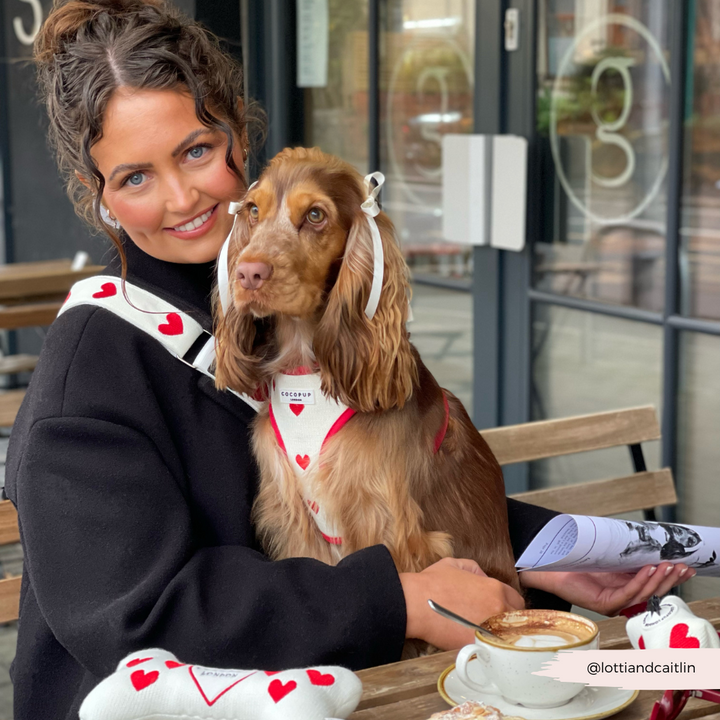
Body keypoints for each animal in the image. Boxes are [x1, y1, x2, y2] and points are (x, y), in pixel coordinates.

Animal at [212, 148, 516, 596]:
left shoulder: (386, 524)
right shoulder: (297, 521)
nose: (248, 274)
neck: (306, 368)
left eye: (315, 215)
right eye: (252, 210)